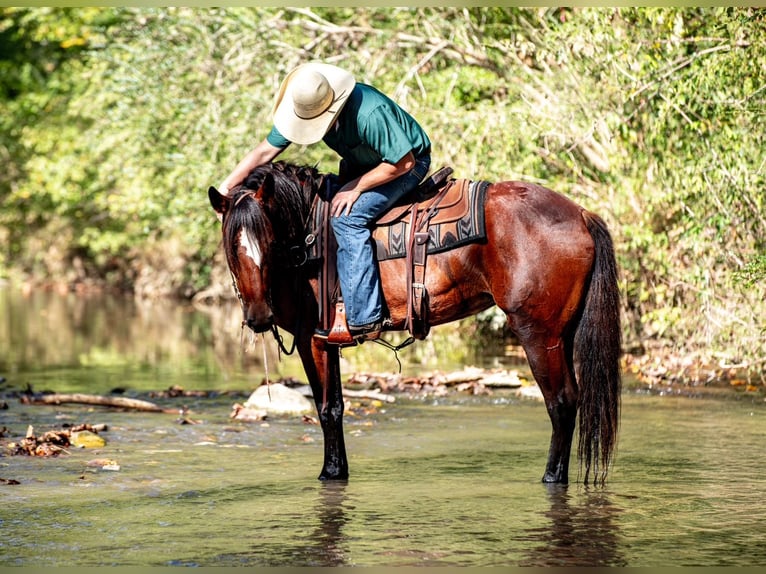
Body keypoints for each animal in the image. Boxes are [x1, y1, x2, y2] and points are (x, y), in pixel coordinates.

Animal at [208, 161, 621, 485]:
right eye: (231, 248)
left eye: (270, 243)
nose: (259, 317)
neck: (308, 235)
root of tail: (580, 214)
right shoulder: (329, 343)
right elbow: (338, 407)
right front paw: (338, 470)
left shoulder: (314, 340)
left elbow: (326, 409)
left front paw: (329, 472)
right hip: (562, 333)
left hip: (538, 333)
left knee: (561, 402)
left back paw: (551, 477)